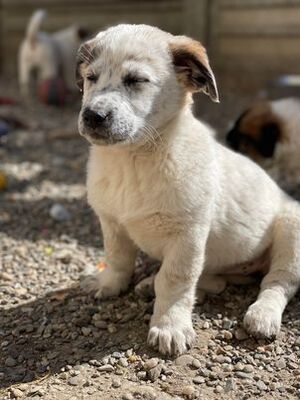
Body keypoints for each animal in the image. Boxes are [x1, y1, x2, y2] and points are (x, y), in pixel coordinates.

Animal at [77, 23, 300, 354]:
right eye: (90, 77)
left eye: (136, 80)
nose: (92, 116)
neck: (132, 160)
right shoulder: (112, 223)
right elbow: (118, 258)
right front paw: (109, 284)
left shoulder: (187, 236)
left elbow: (175, 280)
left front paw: (169, 326)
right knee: (214, 281)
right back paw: (150, 284)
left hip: (291, 229)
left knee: (277, 282)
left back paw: (262, 315)